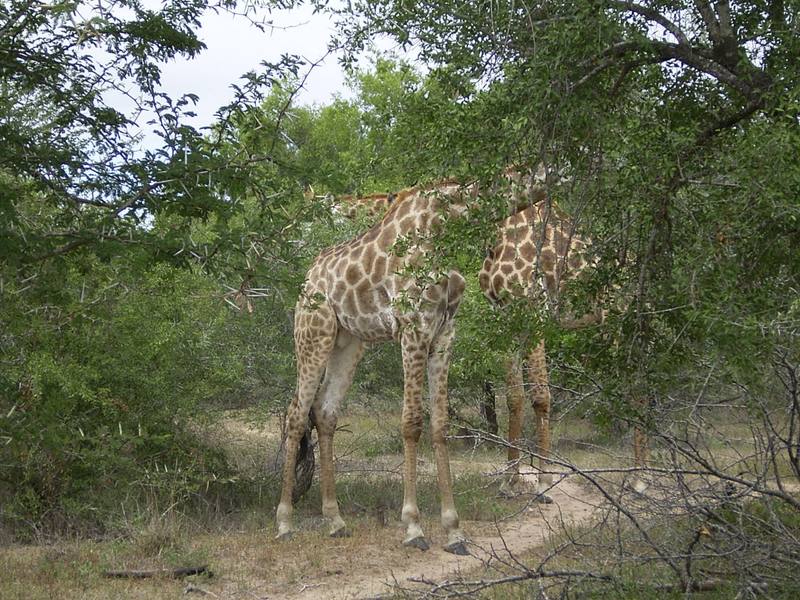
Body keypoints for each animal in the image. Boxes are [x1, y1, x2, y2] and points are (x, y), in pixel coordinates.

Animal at [276, 177, 476, 552]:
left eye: (306, 215)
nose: (288, 240)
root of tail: (308, 280)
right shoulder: (413, 326)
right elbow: (412, 421)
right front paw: (414, 527)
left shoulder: (444, 332)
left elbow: (440, 423)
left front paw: (454, 531)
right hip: (313, 334)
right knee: (297, 412)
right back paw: (284, 522)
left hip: (348, 341)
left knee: (323, 410)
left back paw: (336, 520)